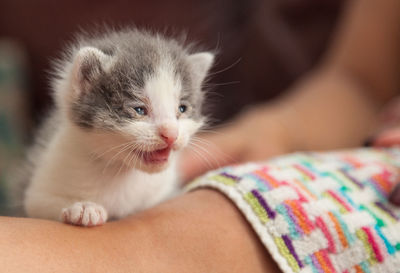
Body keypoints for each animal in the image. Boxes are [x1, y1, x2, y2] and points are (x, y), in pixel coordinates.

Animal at [19, 28, 214, 226]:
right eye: (139, 110)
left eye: (182, 109)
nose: (171, 134)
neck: (121, 171)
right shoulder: (38, 191)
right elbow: (40, 205)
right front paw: (82, 208)